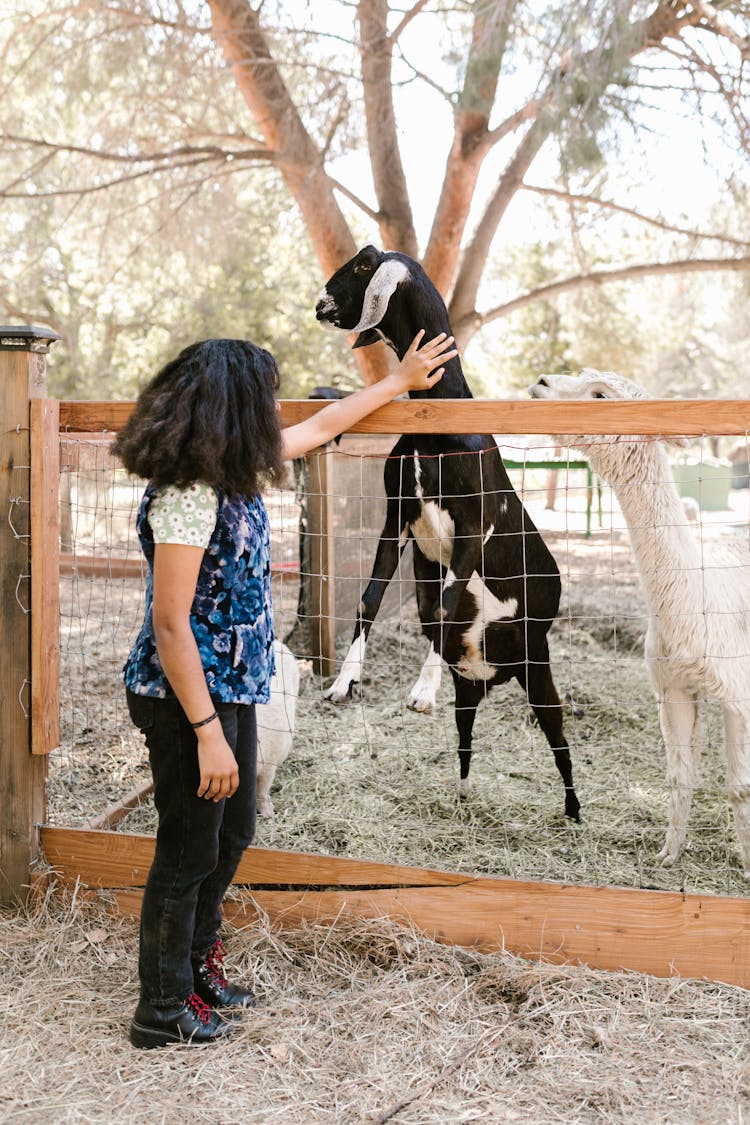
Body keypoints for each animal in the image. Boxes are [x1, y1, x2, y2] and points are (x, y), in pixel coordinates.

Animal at [314, 246, 580, 823]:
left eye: (364, 264)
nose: (319, 305)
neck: (437, 422)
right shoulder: (396, 520)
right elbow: (370, 600)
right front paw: (345, 681)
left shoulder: (472, 529)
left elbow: (446, 603)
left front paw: (420, 690)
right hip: (474, 680)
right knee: (466, 730)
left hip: (538, 668)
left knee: (558, 738)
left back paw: (574, 813)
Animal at [530, 371, 750, 877]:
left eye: (599, 394)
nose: (541, 382)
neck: (693, 599)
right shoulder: (673, 687)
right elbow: (679, 776)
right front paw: (669, 854)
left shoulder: (739, 692)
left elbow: (740, 786)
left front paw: (749, 865)